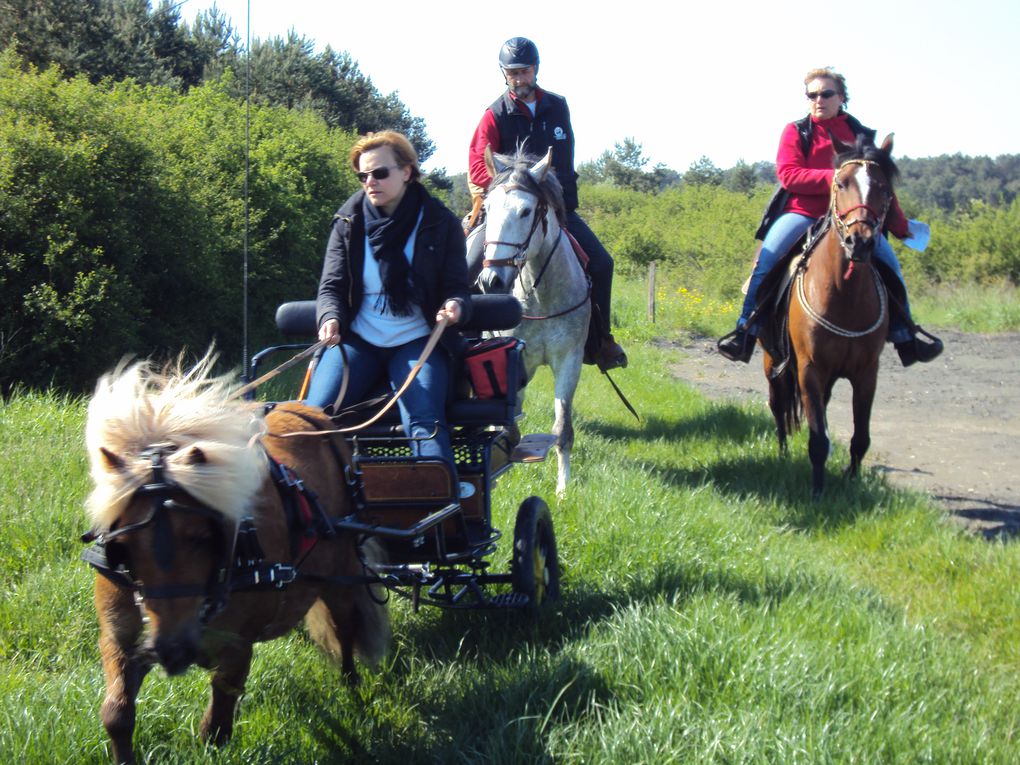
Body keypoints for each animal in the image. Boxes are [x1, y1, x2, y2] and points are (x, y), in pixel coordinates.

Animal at [80, 354, 385, 765]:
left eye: (200, 537)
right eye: (123, 544)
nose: (172, 650)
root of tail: (313, 413)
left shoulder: (237, 645)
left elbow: (215, 729)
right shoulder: (120, 637)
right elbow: (116, 715)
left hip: (339, 572)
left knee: (346, 627)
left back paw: (351, 687)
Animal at [475, 147, 591, 497]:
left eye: (526, 211)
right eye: (487, 208)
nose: (492, 281)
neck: (539, 296)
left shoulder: (569, 361)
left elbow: (562, 427)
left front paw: (563, 488)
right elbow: (507, 422)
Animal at [767, 134, 901, 499]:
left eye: (884, 187)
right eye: (841, 183)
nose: (860, 242)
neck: (844, 293)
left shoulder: (867, 373)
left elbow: (860, 437)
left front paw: (852, 481)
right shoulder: (809, 369)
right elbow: (817, 438)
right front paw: (817, 491)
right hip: (773, 362)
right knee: (778, 406)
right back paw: (782, 454)